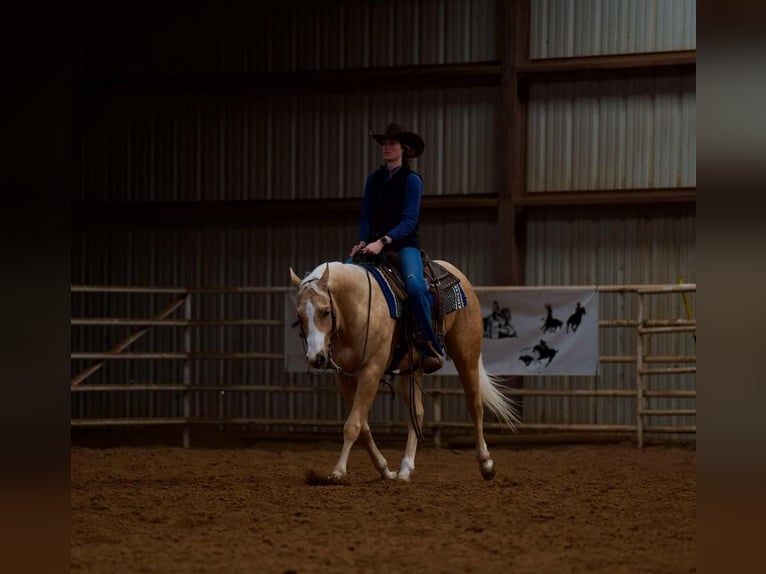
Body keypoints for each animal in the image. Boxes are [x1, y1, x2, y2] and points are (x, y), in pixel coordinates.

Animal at [290, 260, 520, 482]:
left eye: (325, 311)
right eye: (299, 316)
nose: (316, 358)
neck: (359, 307)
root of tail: (457, 274)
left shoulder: (371, 370)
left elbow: (352, 424)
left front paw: (338, 471)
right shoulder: (344, 376)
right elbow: (362, 425)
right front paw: (385, 470)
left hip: (467, 355)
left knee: (475, 405)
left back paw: (486, 464)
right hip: (412, 369)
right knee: (416, 412)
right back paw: (405, 469)